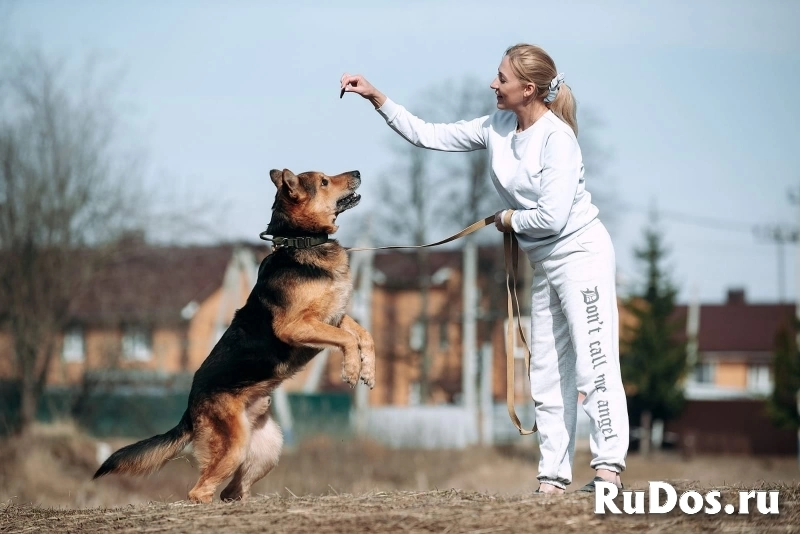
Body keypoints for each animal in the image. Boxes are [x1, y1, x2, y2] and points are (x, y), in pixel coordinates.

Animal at [93, 170, 376, 504]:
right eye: (324, 182)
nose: (358, 172)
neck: (300, 241)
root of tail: (190, 407)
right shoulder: (296, 326)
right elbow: (347, 340)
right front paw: (352, 370)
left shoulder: (334, 315)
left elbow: (364, 335)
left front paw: (368, 371)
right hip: (233, 447)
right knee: (199, 490)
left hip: (267, 449)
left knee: (231, 490)